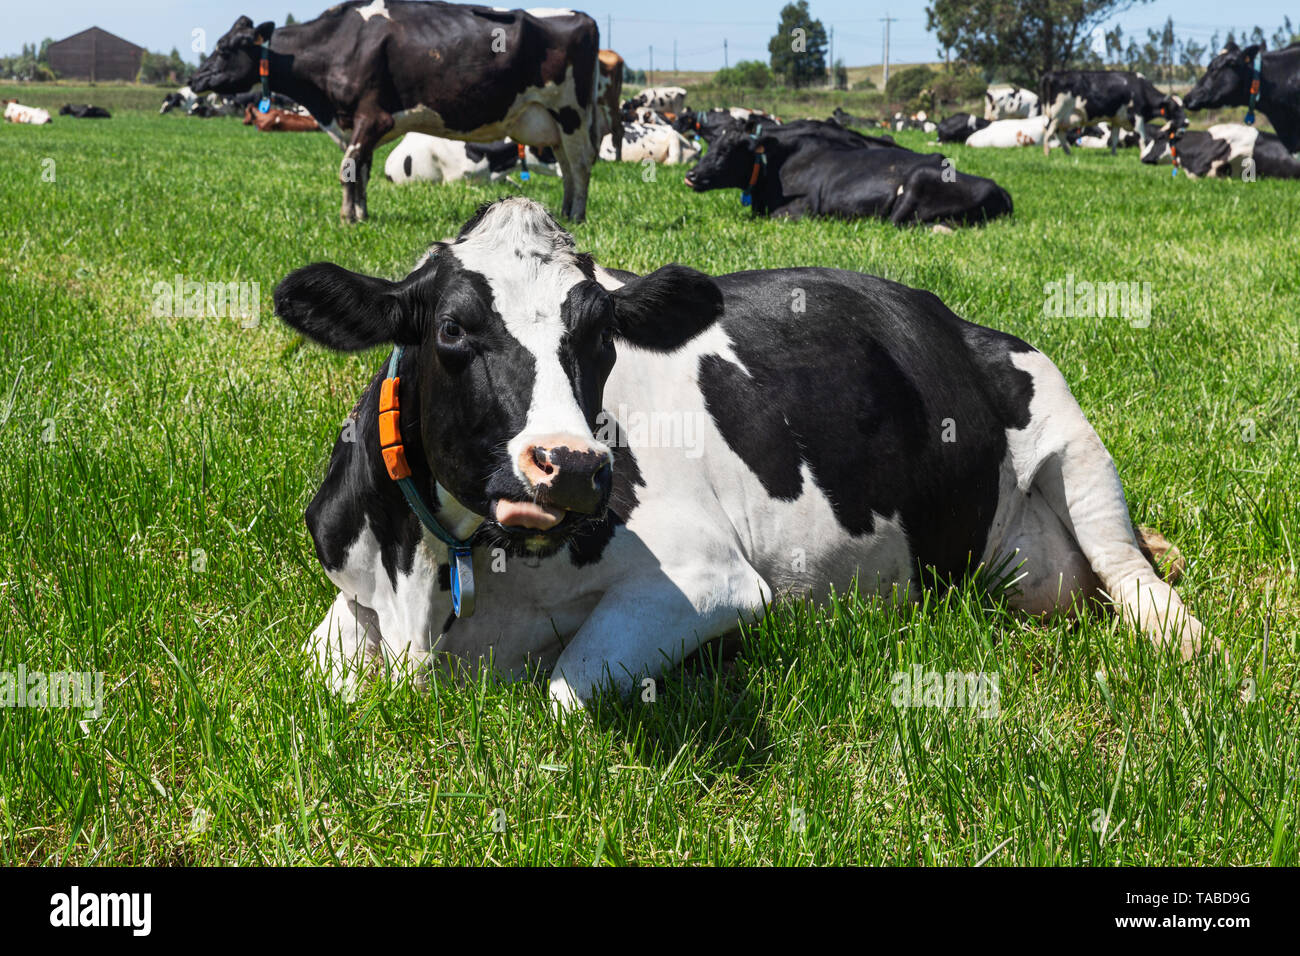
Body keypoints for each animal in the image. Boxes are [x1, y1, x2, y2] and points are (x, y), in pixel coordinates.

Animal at [271, 196, 1206, 710]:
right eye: (454, 330)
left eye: (600, 332)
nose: (572, 467)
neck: (432, 586)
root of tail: (955, 318)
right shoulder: (351, 595)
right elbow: (318, 672)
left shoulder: (708, 578)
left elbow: (567, 689)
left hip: (1067, 434)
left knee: (1135, 579)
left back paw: (1187, 642)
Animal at [684, 121, 1010, 226]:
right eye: (709, 144)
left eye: (728, 150)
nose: (691, 175)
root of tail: (1000, 189)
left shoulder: (801, 210)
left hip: (919, 180)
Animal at [1039, 71, 1184, 156]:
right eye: (1175, 108)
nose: (1186, 122)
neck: (1140, 89)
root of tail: (1051, 75)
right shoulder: (1137, 117)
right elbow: (1142, 137)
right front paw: (1143, 153)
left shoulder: (1117, 120)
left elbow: (1114, 138)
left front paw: (1114, 154)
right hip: (1057, 114)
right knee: (1048, 130)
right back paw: (1047, 152)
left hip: (1064, 118)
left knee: (1059, 133)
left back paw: (1068, 152)